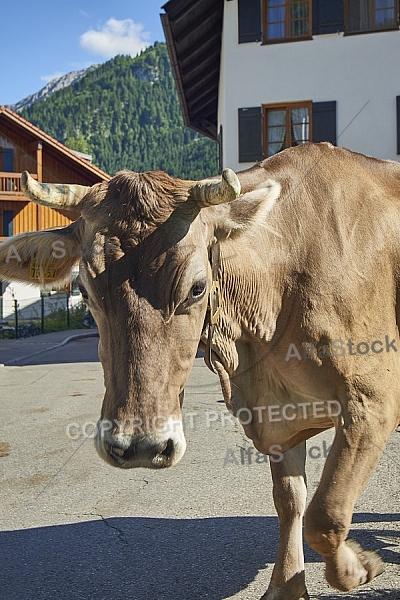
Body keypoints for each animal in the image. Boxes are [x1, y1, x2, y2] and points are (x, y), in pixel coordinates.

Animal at [0, 142, 400, 600]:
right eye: (83, 290)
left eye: (197, 288)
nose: (140, 446)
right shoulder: (276, 415)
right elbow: (291, 501)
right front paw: (287, 585)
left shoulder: (373, 402)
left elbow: (326, 514)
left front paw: (360, 567)